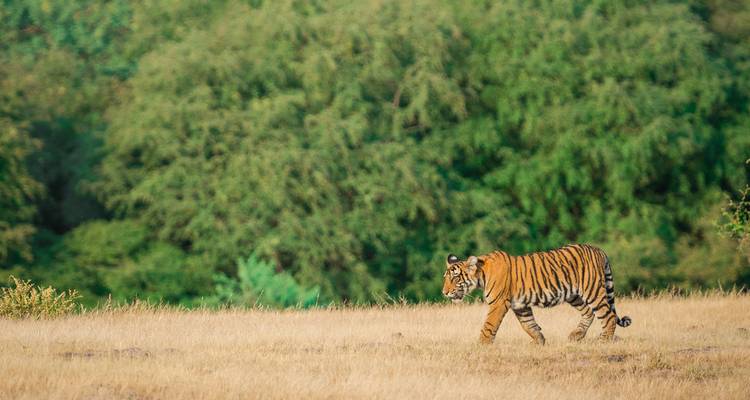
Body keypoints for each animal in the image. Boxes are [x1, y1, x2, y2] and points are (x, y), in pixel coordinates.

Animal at [442, 244, 631, 344]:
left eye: (455, 278)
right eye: (446, 278)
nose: (444, 292)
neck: (481, 275)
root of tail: (599, 250)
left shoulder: (498, 303)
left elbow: (489, 325)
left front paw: (481, 345)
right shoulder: (520, 306)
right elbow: (529, 324)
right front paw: (539, 341)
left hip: (592, 291)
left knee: (608, 316)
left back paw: (604, 340)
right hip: (574, 296)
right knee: (588, 312)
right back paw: (576, 335)